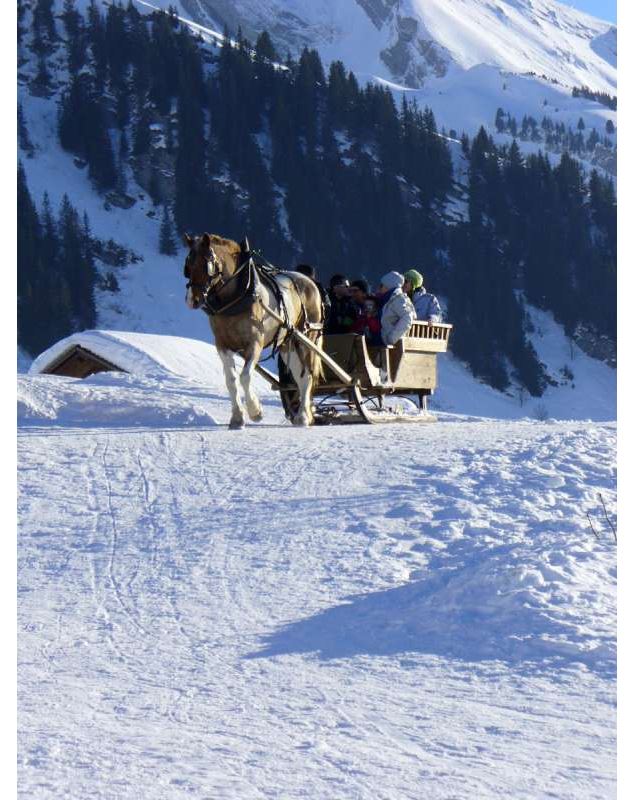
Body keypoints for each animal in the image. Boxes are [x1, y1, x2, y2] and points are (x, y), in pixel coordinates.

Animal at [183, 231, 322, 428]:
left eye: (206, 263)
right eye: (187, 266)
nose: (191, 300)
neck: (238, 295)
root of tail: (309, 281)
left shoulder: (254, 343)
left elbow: (245, 376)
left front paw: (255, 412)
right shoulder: (222, 345)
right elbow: (231, 380)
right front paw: (237, 418)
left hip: (306, 339)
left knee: (307, 376)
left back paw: (303, 416)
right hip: (288, 343)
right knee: (299, 376)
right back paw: (303, 415)